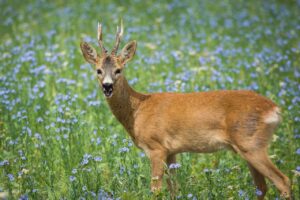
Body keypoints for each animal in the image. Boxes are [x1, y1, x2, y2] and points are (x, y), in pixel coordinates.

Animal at [79, 21, 290, 199]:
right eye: (98, 70)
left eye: (118, 70)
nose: (107, 86)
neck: (137, 111)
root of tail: (275, 109)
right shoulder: (172, 151)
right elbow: (174, 189)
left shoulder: (156, 147)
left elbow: (156, 190)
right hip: (248, 147)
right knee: (262, 187)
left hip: (251, 143)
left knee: (283, 181)